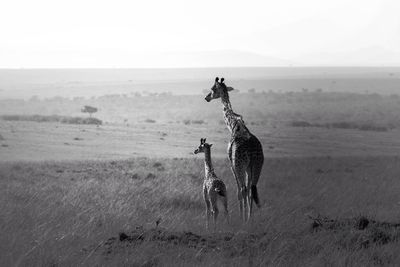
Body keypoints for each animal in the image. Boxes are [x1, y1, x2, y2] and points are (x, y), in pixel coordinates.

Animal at [205, 77, 264, 222]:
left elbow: (239, 190)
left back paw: (244, 219)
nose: (206, 97)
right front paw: (247, 217)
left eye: (212, 89)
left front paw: (241, 217)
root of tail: (252, 152)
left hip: (240, 165)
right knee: (252, 189)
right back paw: (250, 218)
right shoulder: (248, 167)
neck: (233, 125)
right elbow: (249, 191)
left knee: (243, 189)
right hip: (257, 166)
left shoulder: (231, 163)